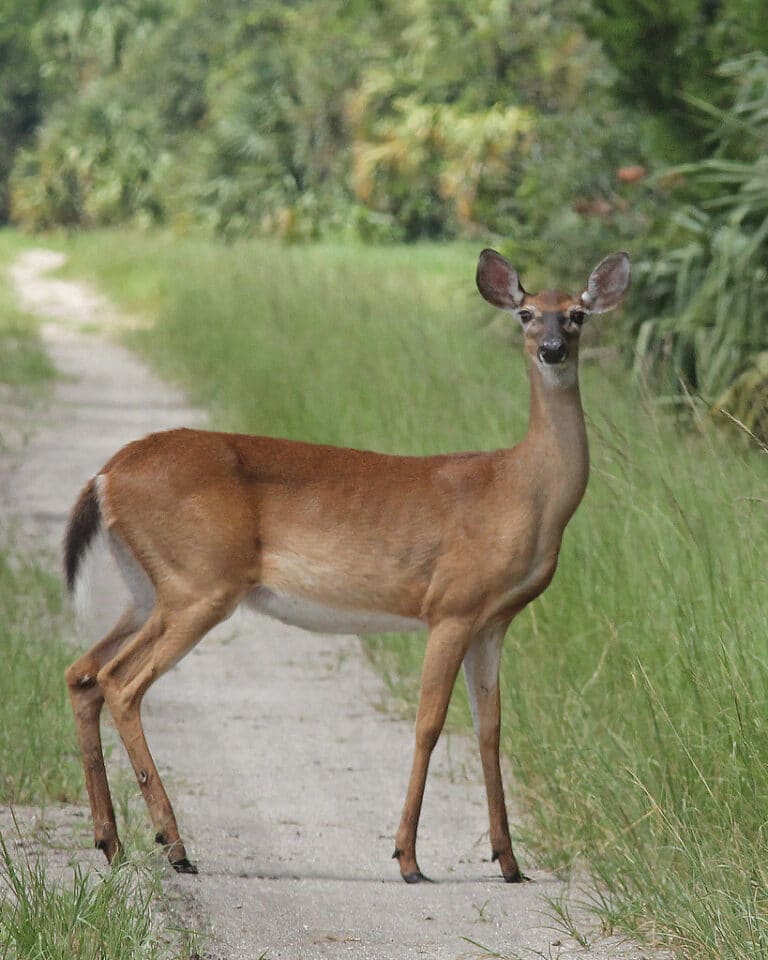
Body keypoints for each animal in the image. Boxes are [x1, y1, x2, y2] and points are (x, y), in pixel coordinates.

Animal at [63, 248, 630, 883]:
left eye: (577, 314)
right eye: (527, 314)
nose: (552, 348)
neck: (521, 489)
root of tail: (106, 475)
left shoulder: (493, 621)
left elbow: (491, 729)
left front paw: (508, 862)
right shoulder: (451, 605)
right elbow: (430, 724)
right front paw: (408, 857)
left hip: (148, 588)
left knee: (83, 672)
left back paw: (112, 842)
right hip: (199, 582)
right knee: (120, 682)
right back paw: (174, 845)